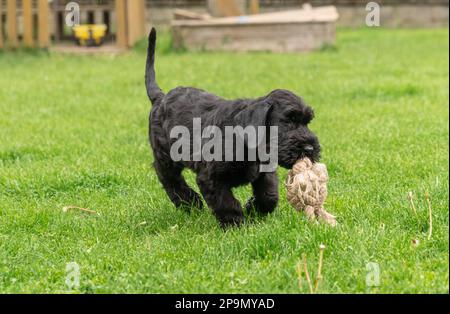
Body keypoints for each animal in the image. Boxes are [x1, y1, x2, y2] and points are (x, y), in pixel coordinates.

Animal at [144, 28, 320, 227]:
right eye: (288, 121)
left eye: (307, 122)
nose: (310, 149)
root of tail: (160, 98)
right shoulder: (211, 177)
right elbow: (226, 202)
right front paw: (235, 224)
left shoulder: (264, 172)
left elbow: (269, 194)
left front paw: (254, 209)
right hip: (165, 155)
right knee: (168, 178)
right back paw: (190, 202)